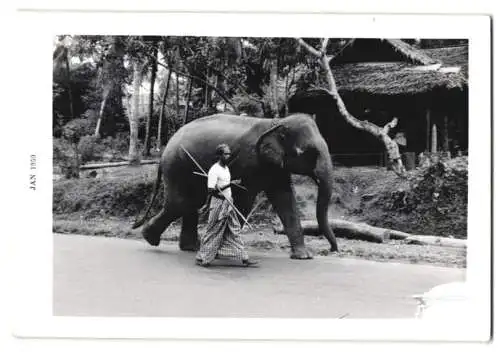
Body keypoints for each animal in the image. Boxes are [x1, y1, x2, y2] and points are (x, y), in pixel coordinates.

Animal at [131, 113, 338, 258]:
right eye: (308, 153)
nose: (332, 250)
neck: (276, 122)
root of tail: (163, 151)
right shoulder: (247, 162)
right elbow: (243, 200)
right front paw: (226, 250)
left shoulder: (276, 167)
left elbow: (285, 199)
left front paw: (304, 256)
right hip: (177, 166)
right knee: (182, 202)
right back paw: (151, 238)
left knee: (191, 202)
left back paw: (189, 248)